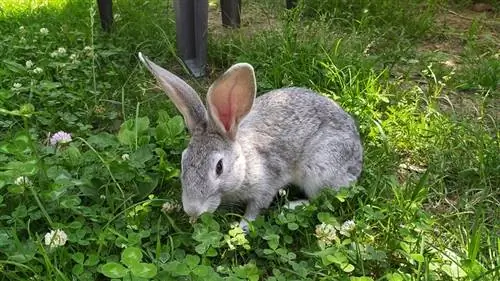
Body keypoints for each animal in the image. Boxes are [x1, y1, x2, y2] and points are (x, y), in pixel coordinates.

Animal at [139, 52, 362, 230]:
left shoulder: (266, 185)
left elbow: (256, 208)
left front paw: (242, 227)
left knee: (321, 198)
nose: (193, 210)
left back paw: (292, 206)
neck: (244, 165)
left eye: (219, 167)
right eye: (183, 161)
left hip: (320, 168)